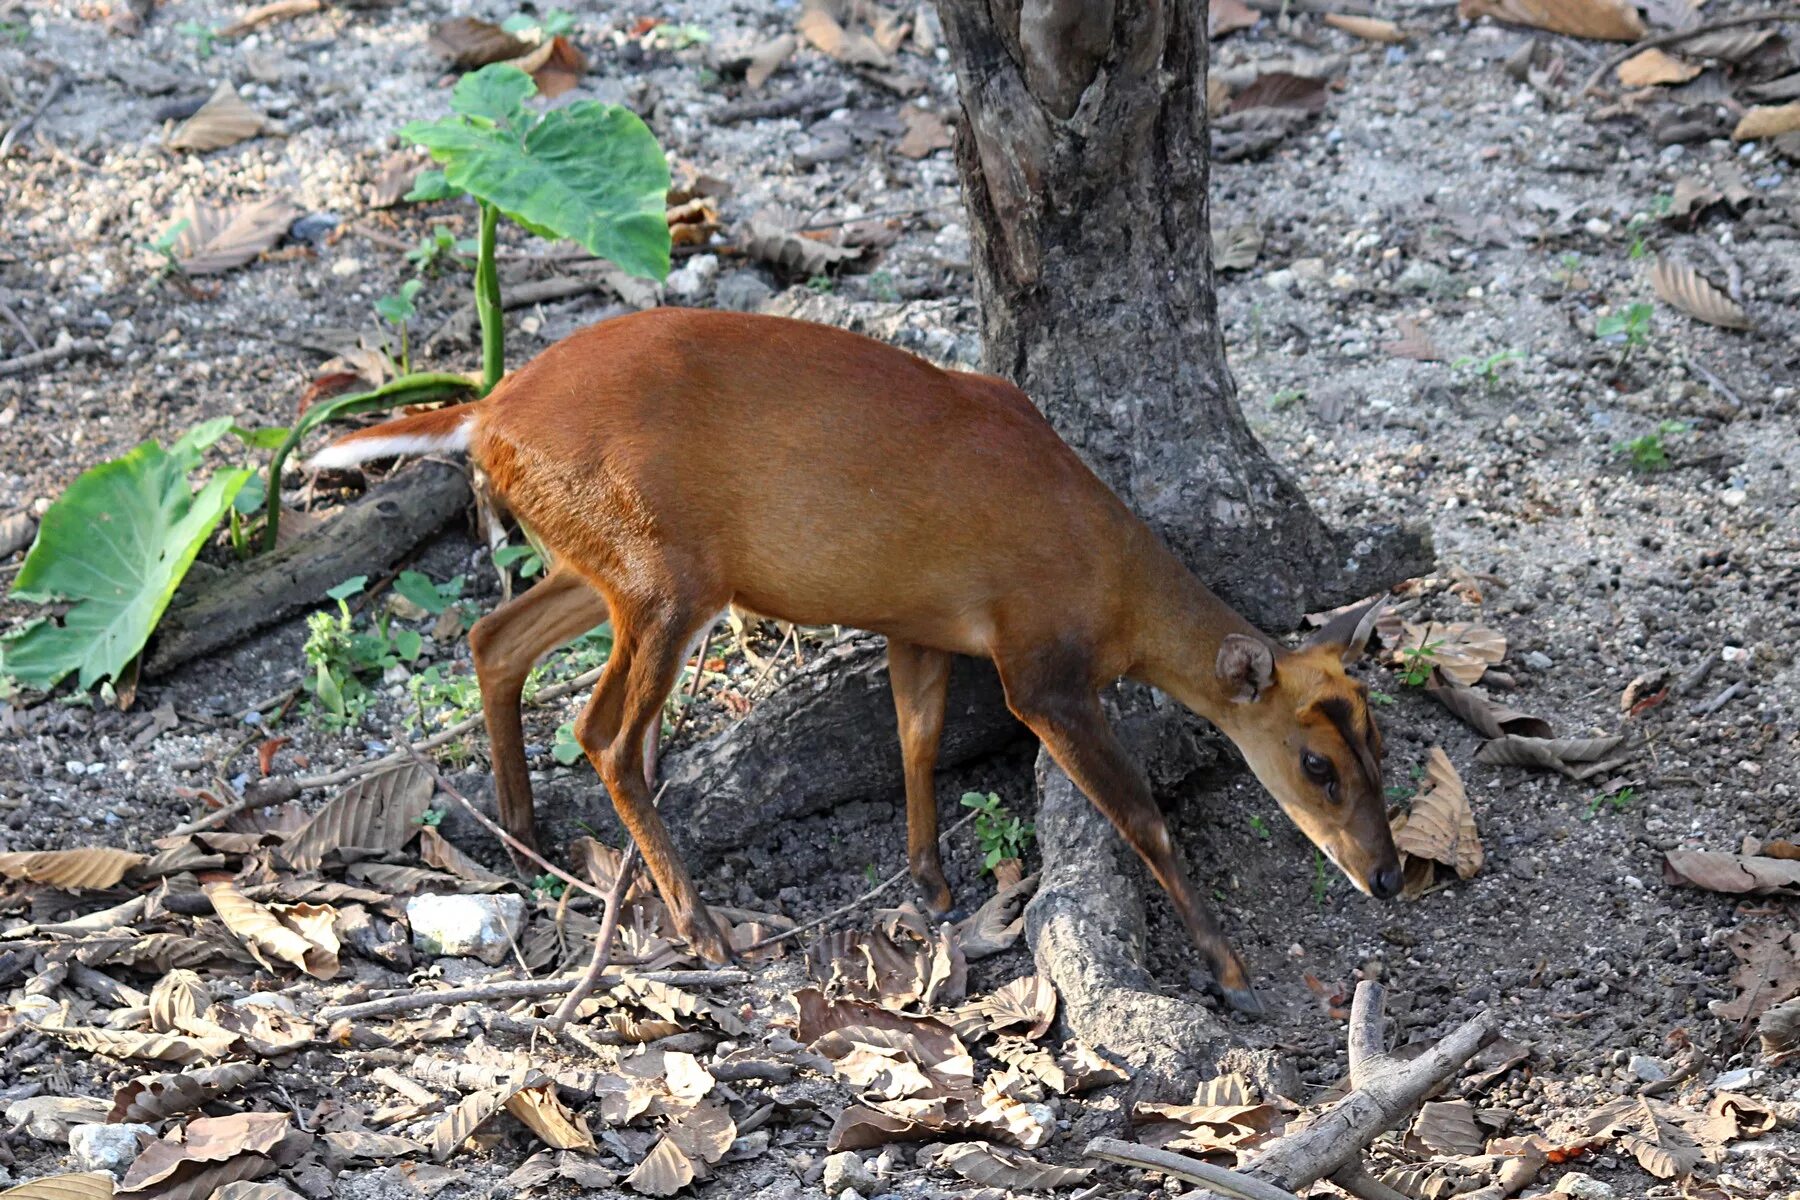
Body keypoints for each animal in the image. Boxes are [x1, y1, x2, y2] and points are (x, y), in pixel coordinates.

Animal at [316, 309, 1396, 1014]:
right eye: (1317, 766)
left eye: (1381, 746)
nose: (1389, 879)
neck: (1111, 580)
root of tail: (489, 409)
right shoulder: (1039, 669)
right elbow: (1142, 818)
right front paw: (1232, 972)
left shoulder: (920, 624)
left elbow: (915, 738)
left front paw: (932, 883)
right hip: (663, 573)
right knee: (604, 732)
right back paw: (697, 923)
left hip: (609, 557)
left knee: (493, 639)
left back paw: (523, 835)